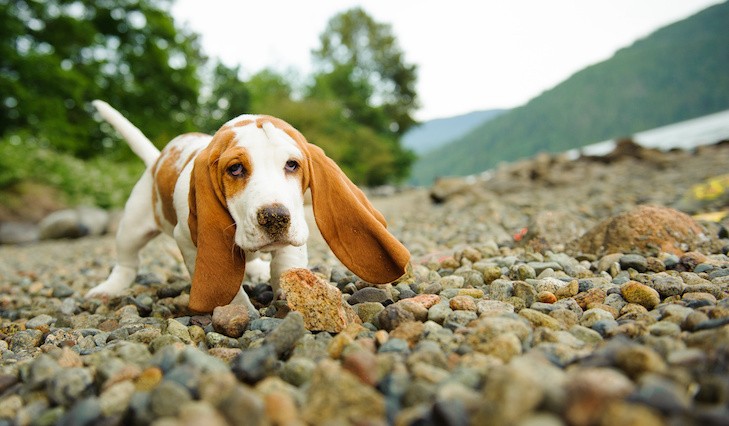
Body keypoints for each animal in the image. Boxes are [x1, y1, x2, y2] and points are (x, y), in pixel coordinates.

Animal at [85, 100, 410, 312]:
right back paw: (107, 290)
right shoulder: (189, 241)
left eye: (292, 164)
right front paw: (238, 312)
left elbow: (286, 261)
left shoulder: (297, 228)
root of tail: (157, 160)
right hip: (132, 227)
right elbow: (225, 285)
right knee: (126, 263)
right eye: (236, 169)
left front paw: (289, 289)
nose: (275, 217)